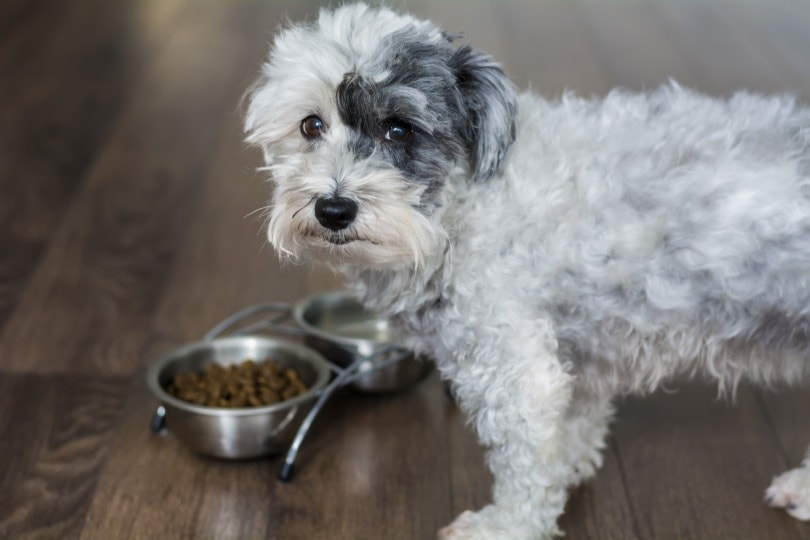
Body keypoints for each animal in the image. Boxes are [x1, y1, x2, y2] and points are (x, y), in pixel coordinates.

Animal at [245, 4, 808, 540]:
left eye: (399, 128)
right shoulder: (577, 347)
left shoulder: (516, 370)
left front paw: (505, 528)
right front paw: (570, 463)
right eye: (311, 125)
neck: (461, 210)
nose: (332, 209)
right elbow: (575, 420)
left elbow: (525, 467)